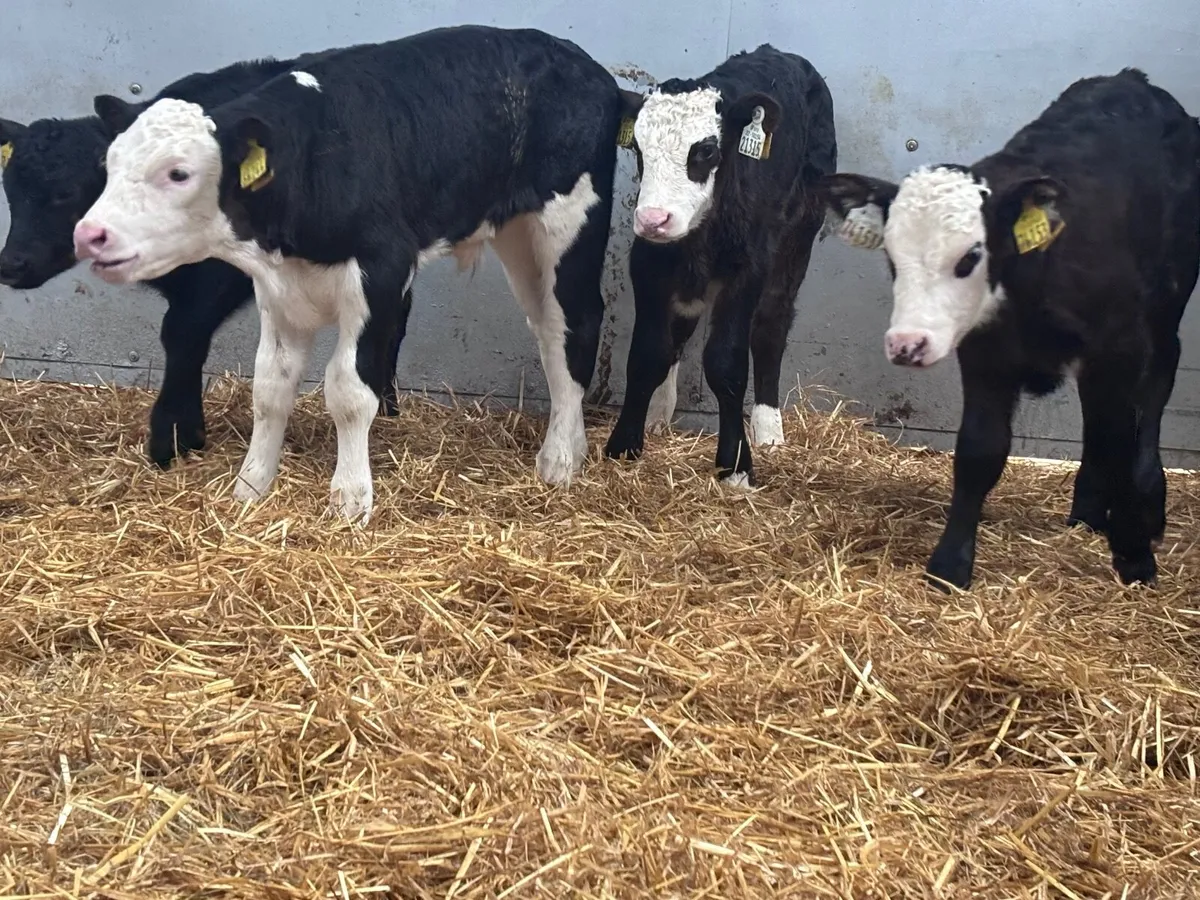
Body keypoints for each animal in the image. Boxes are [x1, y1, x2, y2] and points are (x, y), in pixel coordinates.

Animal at [0, 56, 408, 468]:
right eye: (10, 190)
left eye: (64, 193)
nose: (10, 264)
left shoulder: (217, 278)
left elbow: (181, 334)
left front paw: (173, 436)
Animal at [73, 25, 623, 523]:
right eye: (109, 162)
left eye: (179, 173)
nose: (89, 234)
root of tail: (586, 65)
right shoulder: (277, 288)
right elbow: (270, 388)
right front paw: (251, 485)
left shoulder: (380, 271)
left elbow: (350, 391)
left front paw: (351, 498)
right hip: (517, 236)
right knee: (549, 329)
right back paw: (569, 447)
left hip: (568, 224)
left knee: (576, 322)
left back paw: (560, 461)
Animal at [602, 44, 837, 487]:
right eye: (638, 149)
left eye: (706, 151)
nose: (654, 219)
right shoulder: (648, 263)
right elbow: (647, 353)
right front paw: (624, 444)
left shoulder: (747, 271)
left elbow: (726, 363)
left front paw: (737, 463)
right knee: (681, 330)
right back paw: (660, 412)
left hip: (800, 231)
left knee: (771, 323)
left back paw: (768, 427)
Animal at [820, 68, 1200, 590]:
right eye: (892, 259)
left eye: (970, 257)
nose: (907, 344)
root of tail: (1131, 79)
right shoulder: (987, 350)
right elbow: (980, 448)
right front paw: (950, 563)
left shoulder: (1119, 345)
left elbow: (1122, 437)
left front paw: (1135, 558)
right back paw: (1086, 510)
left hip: (1166, 308)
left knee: (1155, 391)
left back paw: (1148, 506)